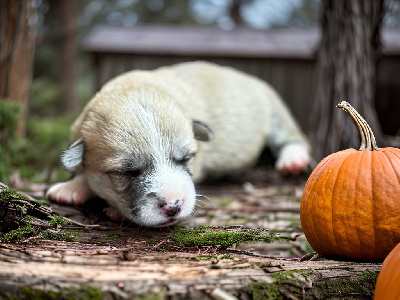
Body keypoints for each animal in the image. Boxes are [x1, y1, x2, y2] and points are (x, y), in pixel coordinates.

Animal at [46, 61, 310, 227]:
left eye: (185, 159)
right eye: (128, 172)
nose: (173, 205)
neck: (135, 88)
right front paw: (72, 187)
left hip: (276, 110)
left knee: (293, 137)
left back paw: (293, 160)